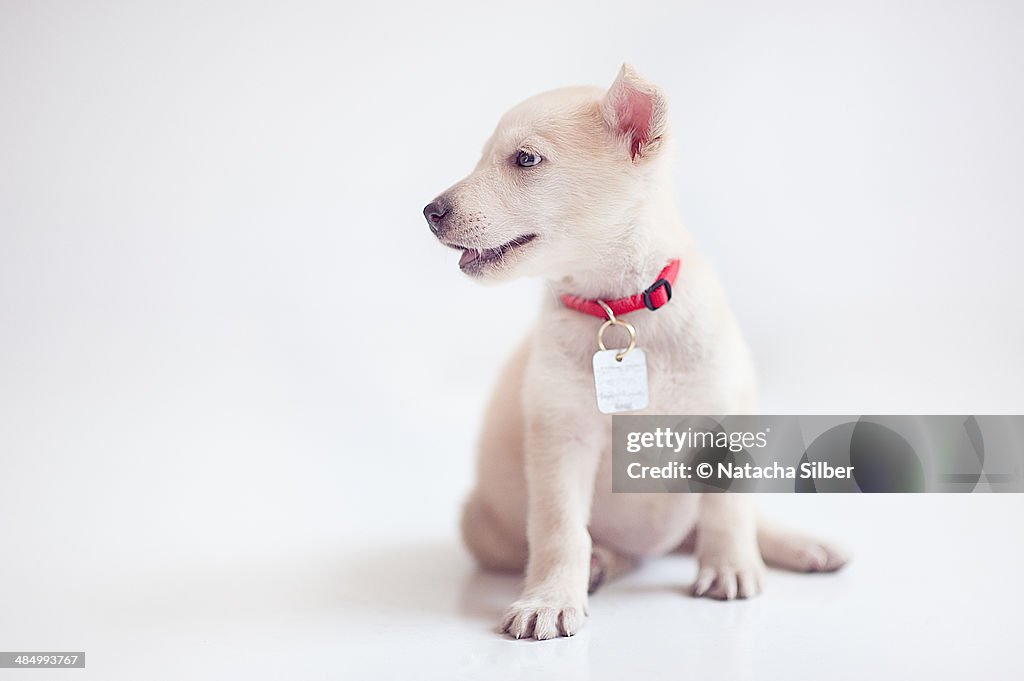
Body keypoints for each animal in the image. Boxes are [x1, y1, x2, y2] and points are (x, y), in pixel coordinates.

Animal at [423, 63, 847, 639]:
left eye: (525, 159)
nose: (429, 212)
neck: (619, 308)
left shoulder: (726, 421)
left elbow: (729, 512)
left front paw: (731, 568)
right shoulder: (561, 439)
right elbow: (560, 528)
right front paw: (551, 598)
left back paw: (802, 545)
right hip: (482, 524)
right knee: (600, 546)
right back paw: (600, 564)